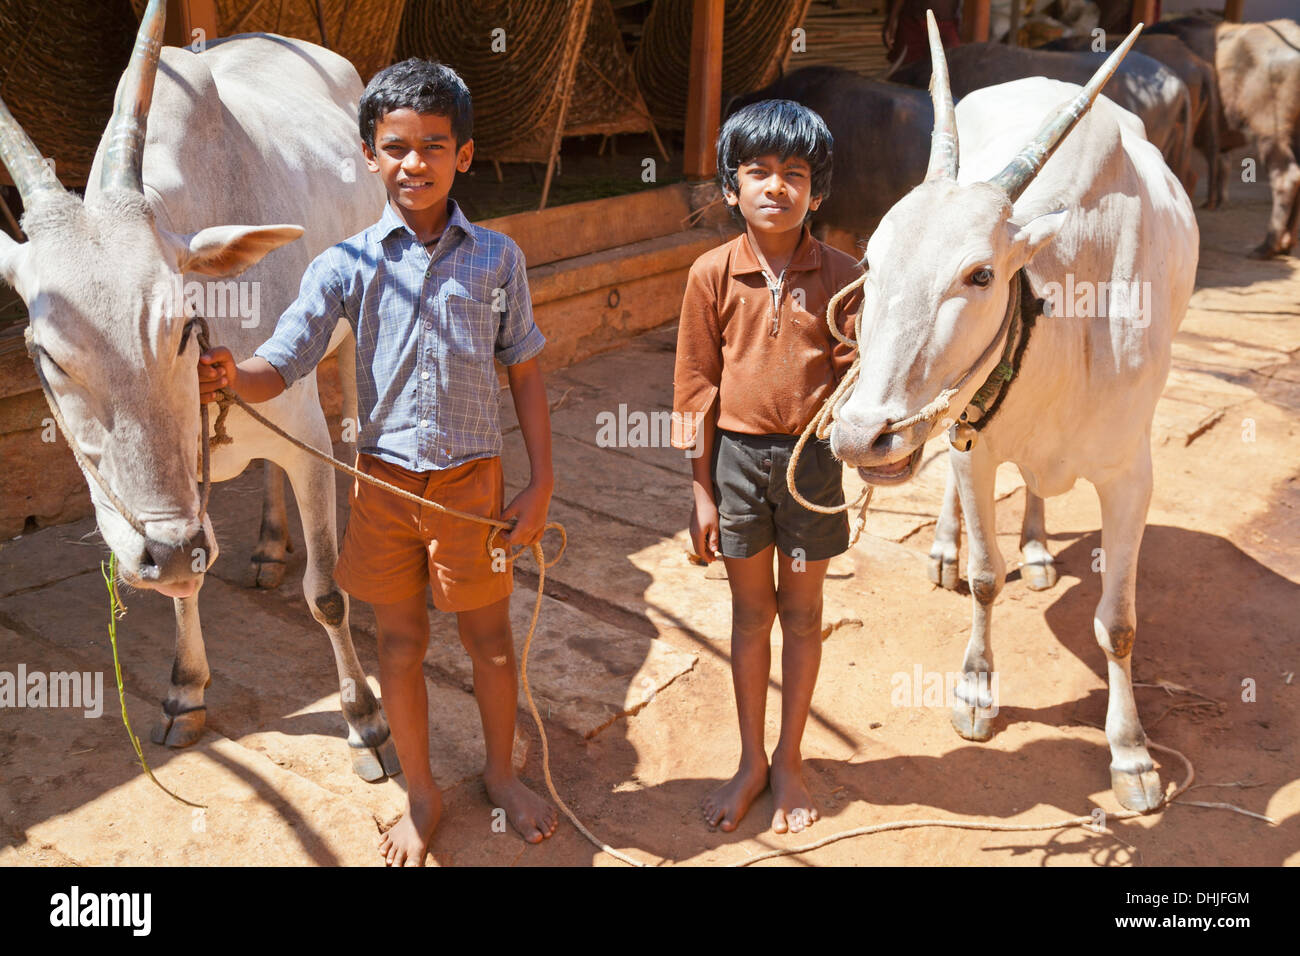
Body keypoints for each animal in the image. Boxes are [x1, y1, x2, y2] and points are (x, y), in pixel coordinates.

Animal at [0, 0, 397, 780]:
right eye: (45, 355)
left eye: (184, 325)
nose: (166, 548)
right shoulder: (180, 508)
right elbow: (187, 586)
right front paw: (187, 692)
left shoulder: (302, 431)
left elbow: (327, 594)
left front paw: (364, 719)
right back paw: (270, 546)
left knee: (354, 426)